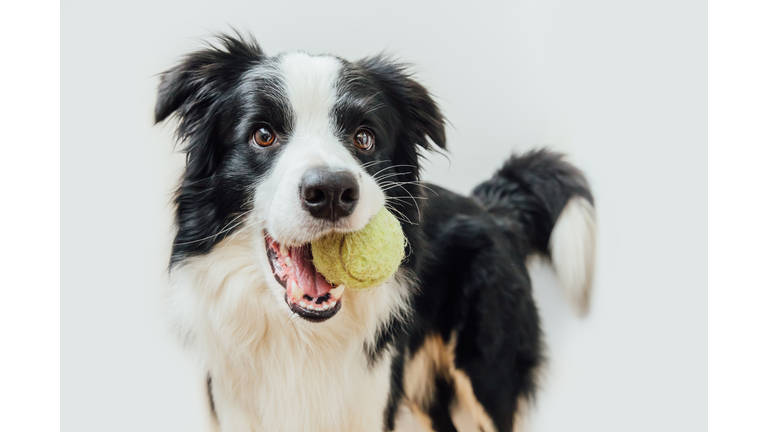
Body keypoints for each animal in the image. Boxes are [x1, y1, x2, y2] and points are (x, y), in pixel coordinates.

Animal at [156, 33, 596, 432]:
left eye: (364, 138)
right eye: (263, 135)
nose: (332, 192)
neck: (301, 338)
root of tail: (494, 208)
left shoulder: (373, 398)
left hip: (487, 373)